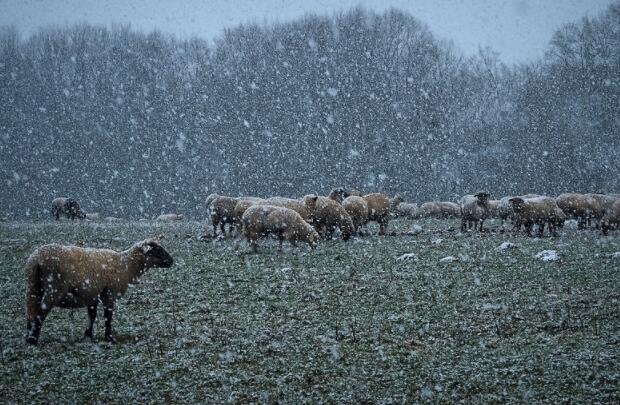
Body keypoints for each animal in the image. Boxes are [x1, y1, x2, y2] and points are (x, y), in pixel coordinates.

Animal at [24, 238, 173, 346]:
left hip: (33, 288)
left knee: (31, 313)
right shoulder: (110, 294)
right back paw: (33, 340)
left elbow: (92, 316)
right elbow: (108, 316)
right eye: (157, 250)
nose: (172, 261)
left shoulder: (93, 295)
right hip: (53, 289)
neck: (127, 266)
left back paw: (28, 337)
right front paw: (109, 338)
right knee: (40, 313)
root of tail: (35, 260)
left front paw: (88, 335)